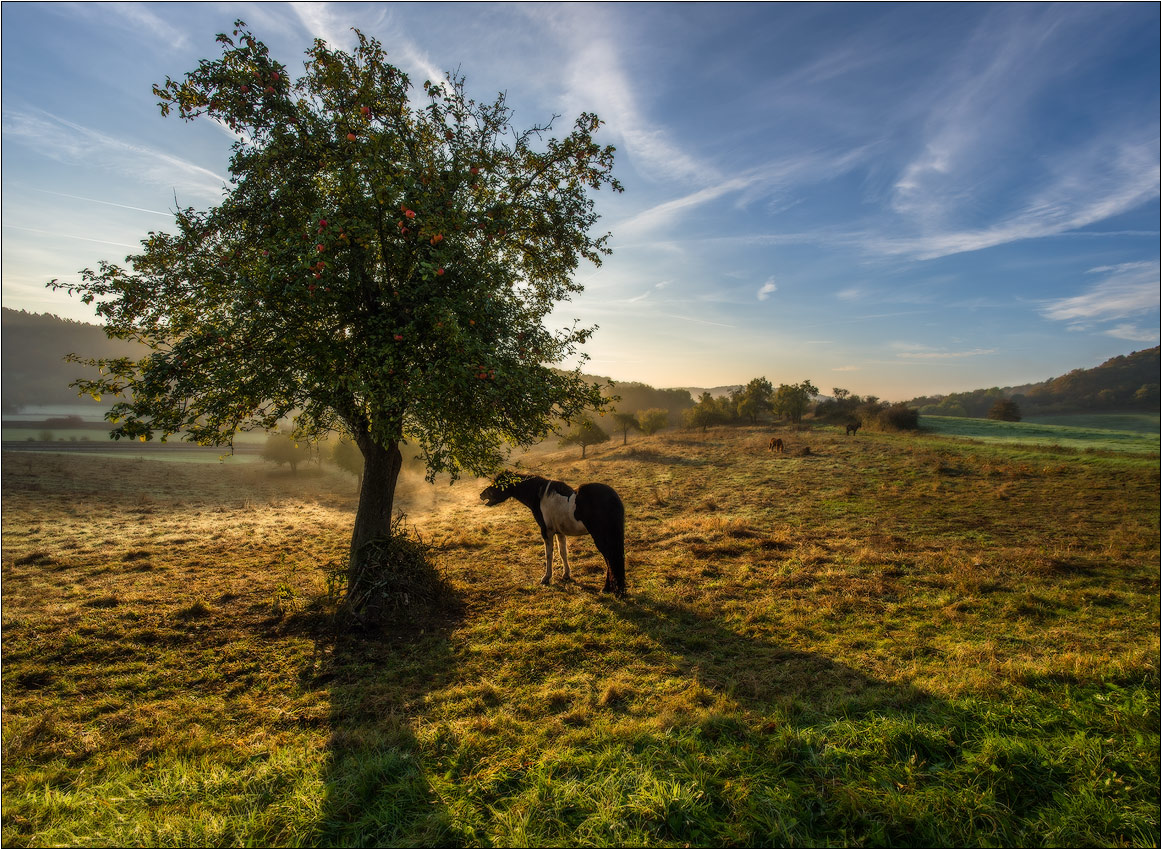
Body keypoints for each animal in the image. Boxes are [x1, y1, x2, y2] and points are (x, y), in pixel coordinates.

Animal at [478, 472, 632, 600]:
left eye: (496, 484)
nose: (481, 495)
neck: (540, 496)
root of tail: (612, 498)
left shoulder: (547, 532)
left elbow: (549, 555)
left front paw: (546, 578)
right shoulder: (560, 532)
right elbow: (563, 553)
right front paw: (566, 575)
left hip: (601, 537)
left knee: (610, 559)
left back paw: (609, 589)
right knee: (612, 559)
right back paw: (610, 589)